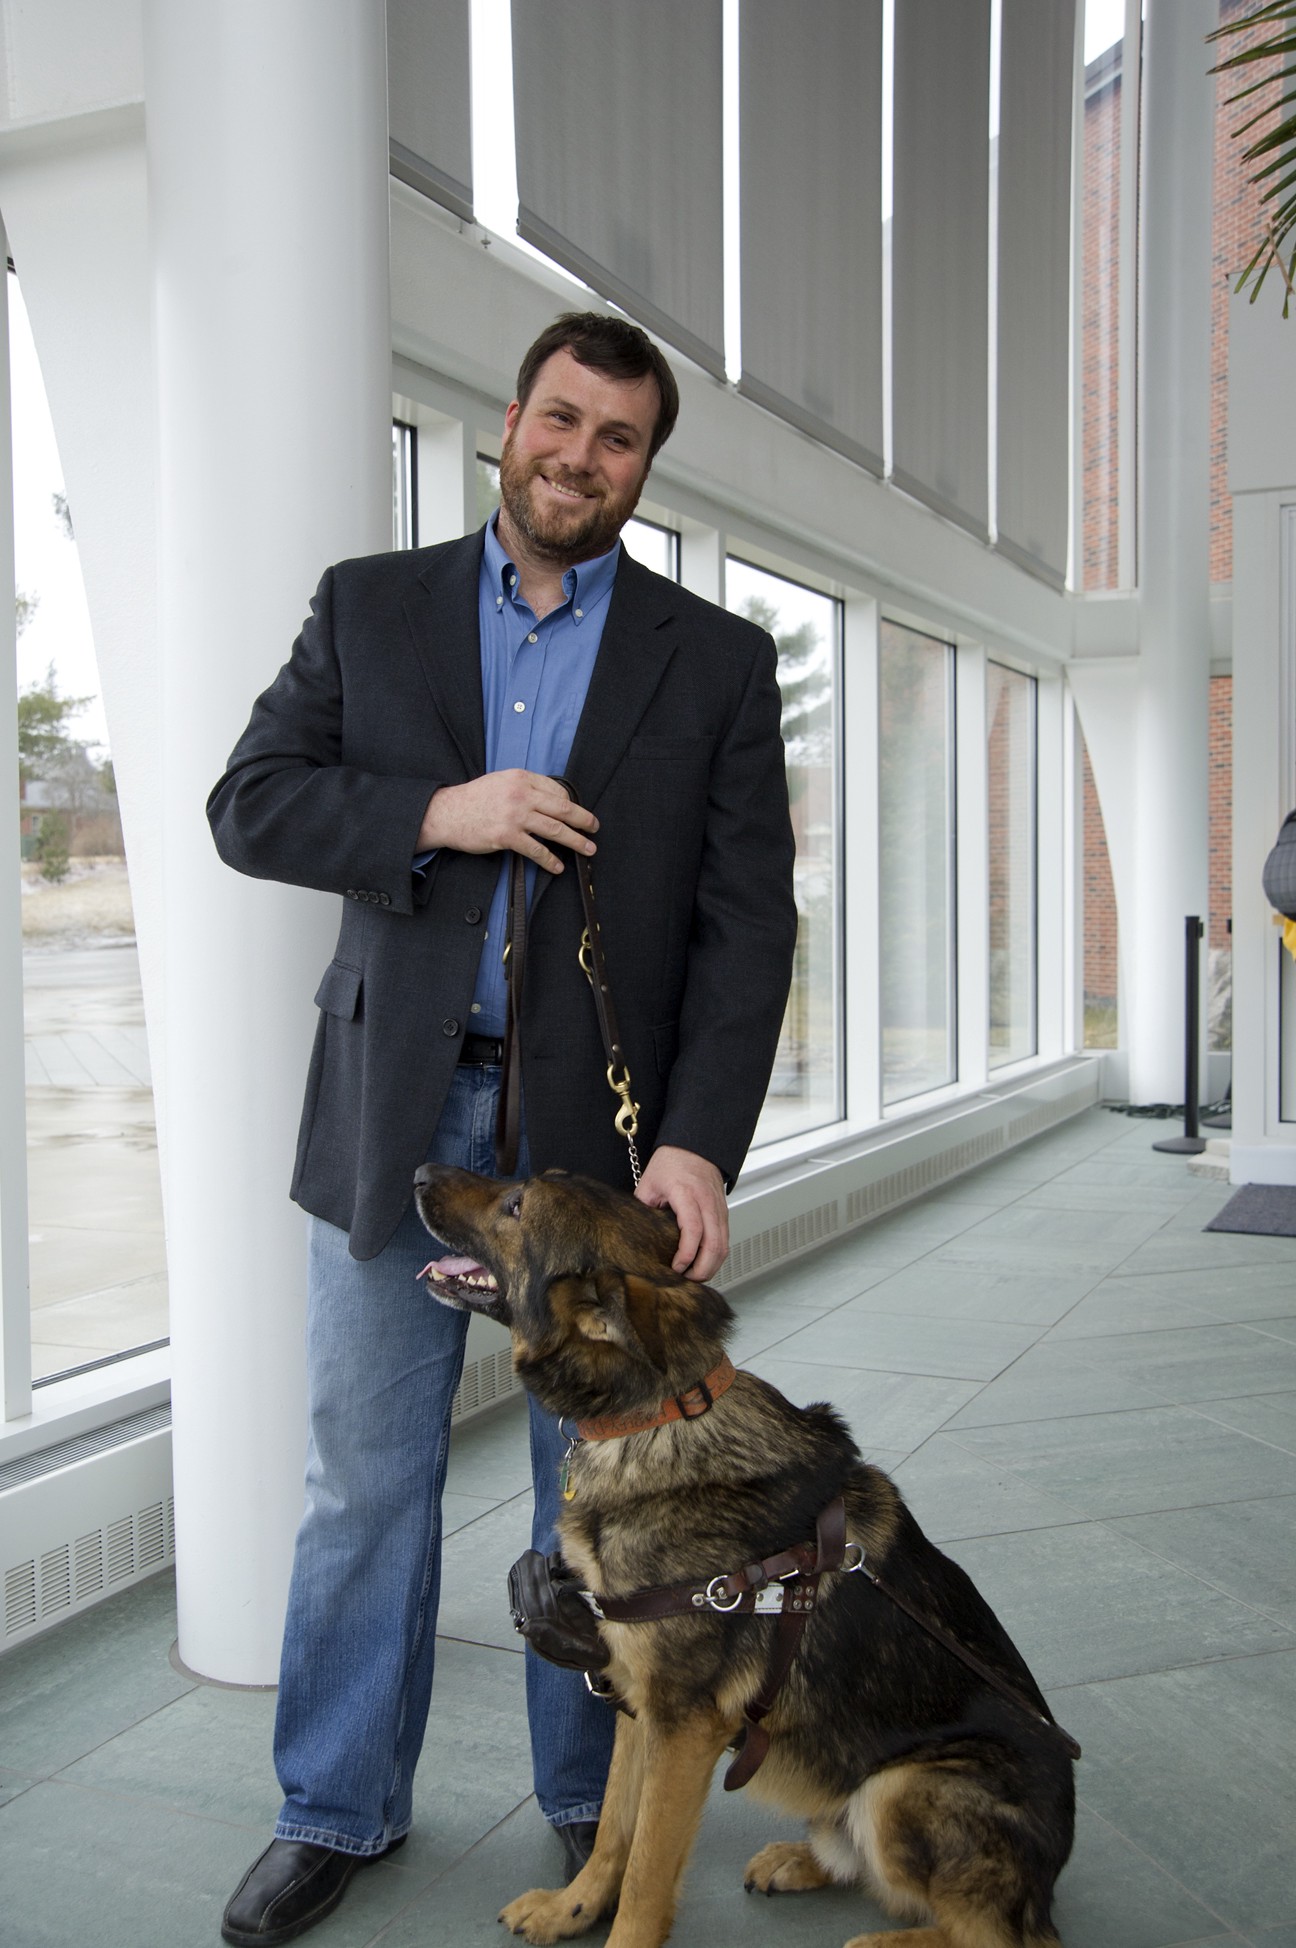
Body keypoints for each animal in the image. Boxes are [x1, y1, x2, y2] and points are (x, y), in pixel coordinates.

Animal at [415, 1161, 1067, 1940]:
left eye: (517, 1204)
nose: (419, 1171)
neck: (657, 1421)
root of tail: (1048, 1885)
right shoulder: (638, 1700)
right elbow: (613, 1833)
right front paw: (573, 1907)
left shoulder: (684, 1727)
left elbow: (645, 1873)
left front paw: (618, 1926)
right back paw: (799, 1860)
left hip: (905, 1785)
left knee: (992, 1935)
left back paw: (880, 1940)